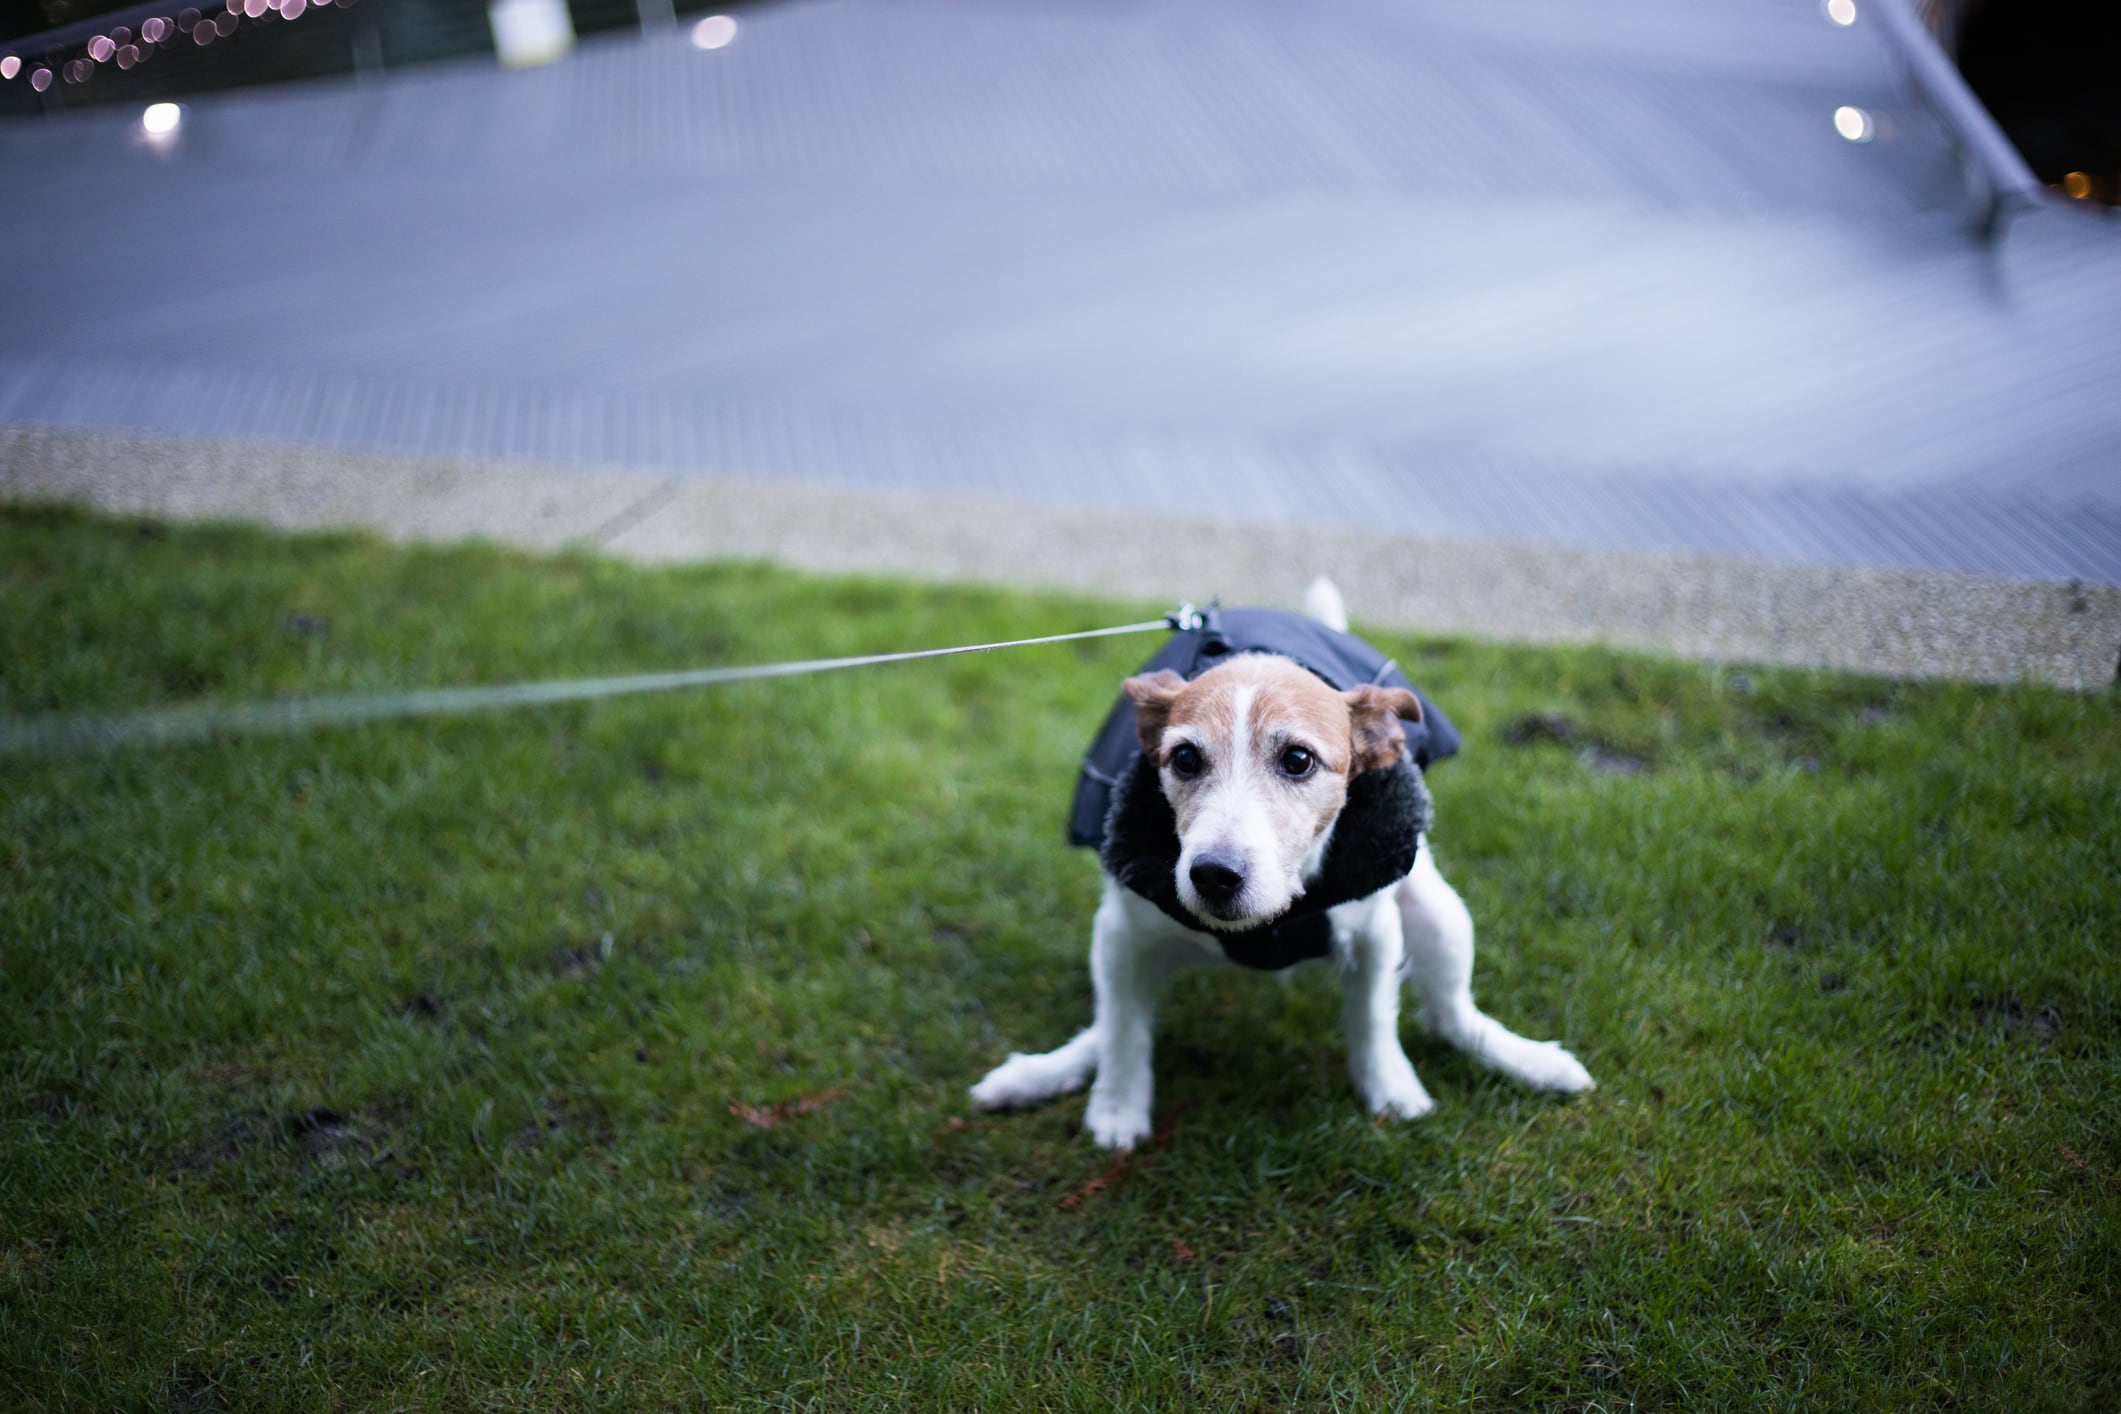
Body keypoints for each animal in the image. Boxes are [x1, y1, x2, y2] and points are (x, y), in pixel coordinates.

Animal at [971, 576, 1594, 1153]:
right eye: (1185, 758)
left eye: (1298, 759)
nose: (1213, 875)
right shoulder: (1124, 930)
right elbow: (1125, 1030)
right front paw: (1119, 1108)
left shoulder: (1376, 929)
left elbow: (1374, 1015)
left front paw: (1390, 1089)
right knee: (1109, 1018)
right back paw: (1043, 1072)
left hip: (1439, 912)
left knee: (1451, 1017)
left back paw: (1532, 1061)